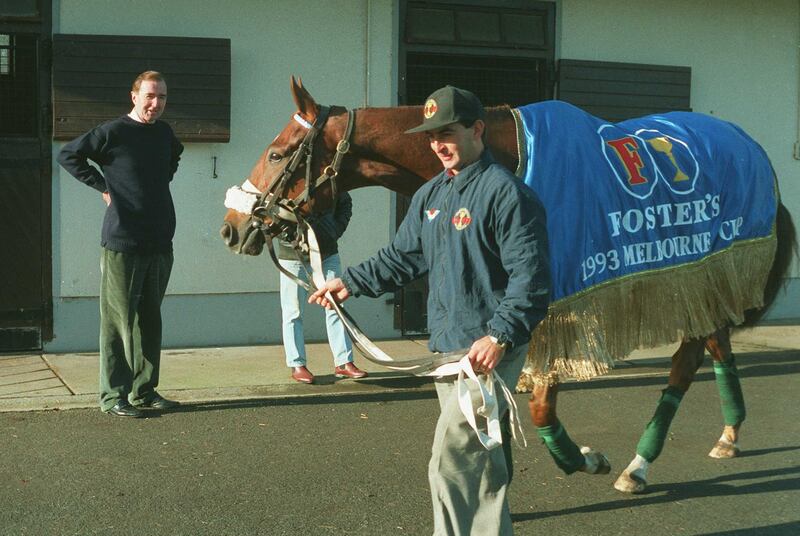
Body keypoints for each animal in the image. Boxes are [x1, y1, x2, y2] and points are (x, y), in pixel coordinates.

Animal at [222, 78, 796, 494]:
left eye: (277, 154)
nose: (231, 226)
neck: (511, 155)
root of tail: (761, 160)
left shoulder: (557, 306)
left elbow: (539, 405)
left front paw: (583, 458)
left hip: (704, 276)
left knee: (686, 361)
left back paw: (639, 464)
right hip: (703, 278)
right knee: (716, 344)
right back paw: (728, 434)